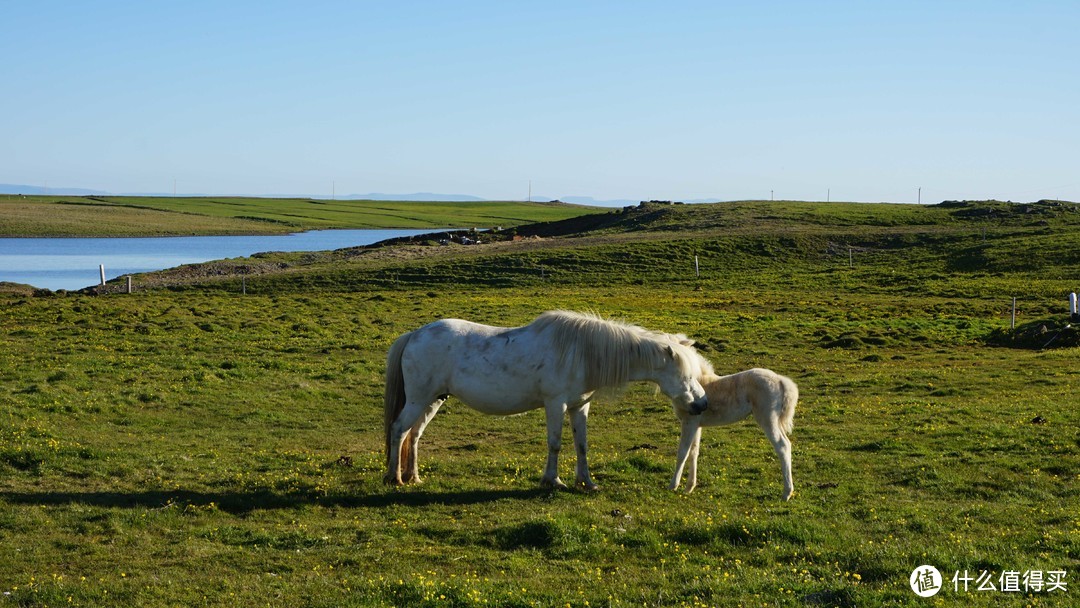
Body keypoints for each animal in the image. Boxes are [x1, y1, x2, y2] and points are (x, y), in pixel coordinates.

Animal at [382, 311, 708, 492]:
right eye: (687, 376)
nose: (702, 405)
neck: (582, 353)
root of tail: (415, 334)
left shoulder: (579, 406)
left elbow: (581, 444)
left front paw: (586, 483)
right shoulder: (555, 404)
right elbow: (555, 443)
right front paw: (553, 480)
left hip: (433, 400)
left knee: (414, 434)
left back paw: (414, 477)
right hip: (419, 399)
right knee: (399, 430)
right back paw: (394, 478)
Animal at [669, 365, 799, 501]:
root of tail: (780, 380)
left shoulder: (689, 422)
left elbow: (682, 452)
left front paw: (673, 485)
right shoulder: (696, 425)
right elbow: (693, 452)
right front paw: (689, 487)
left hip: (768, 420)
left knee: (782, 446)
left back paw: (786, 493)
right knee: (787, 444)